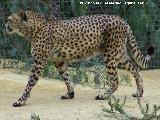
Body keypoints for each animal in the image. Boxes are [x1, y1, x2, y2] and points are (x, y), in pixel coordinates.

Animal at [5, 9, 154, 106]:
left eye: (10, 20)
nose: (5, 26)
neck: (32, 28)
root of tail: (121, 19)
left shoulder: (39, 63)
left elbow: (30, 83)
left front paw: (20, 100)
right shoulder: (59, 61)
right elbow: (67, 78)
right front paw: (70, 94)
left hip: (110, 55)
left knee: (115, 80)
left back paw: (104, 95)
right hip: (119, 56)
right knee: (135, 69)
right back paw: (139, 92)